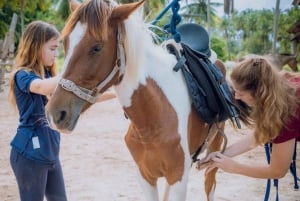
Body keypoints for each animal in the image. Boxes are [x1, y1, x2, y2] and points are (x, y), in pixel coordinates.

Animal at [46, 0, 225, 200]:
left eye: (97, 48)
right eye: (65, 44)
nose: (55, 114)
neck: (156, 113)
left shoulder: (178, 177)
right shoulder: (145, 175)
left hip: (215, 151)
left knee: (210, 185)